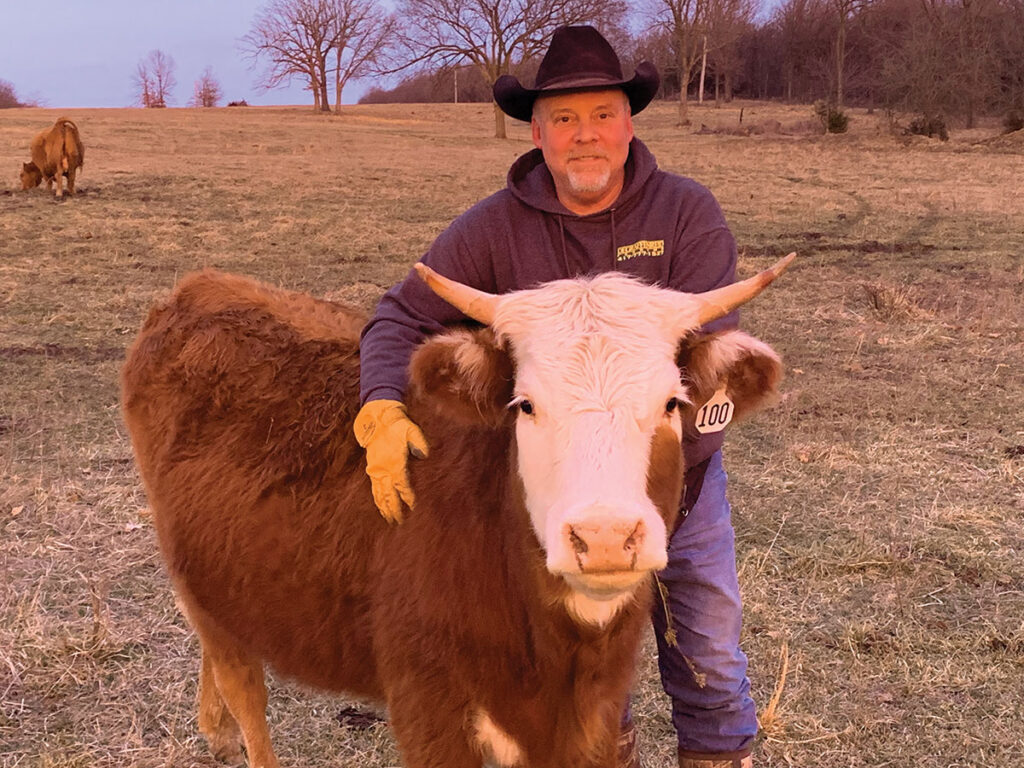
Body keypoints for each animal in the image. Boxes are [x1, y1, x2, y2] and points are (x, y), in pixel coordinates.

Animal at [117, 257, 790, 768]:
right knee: (244, 684)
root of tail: (198, 289)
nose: (603, 538)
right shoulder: (431, 711)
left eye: (672, 403)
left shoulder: (591, 715)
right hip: (198, 584)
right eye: (525, 405)